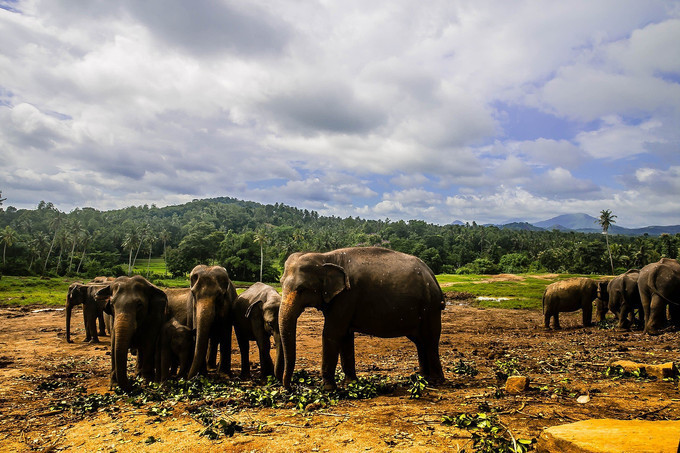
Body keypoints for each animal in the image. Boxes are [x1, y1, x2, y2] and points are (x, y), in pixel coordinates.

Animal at [278, 245, 446, 390]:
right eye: (280, 283)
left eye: (301, 289)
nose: (290, 388)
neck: (325, 256)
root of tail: (432, 275)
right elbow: (345, 336)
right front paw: (350, 384)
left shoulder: (346, 296)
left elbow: (332, 333)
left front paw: (328, 389)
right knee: (420, 341)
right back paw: (422, 378)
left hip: (430, 307)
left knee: (430, 339)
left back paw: (435, 381)